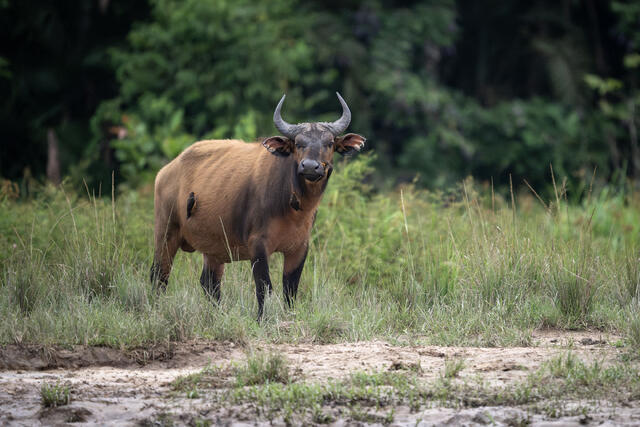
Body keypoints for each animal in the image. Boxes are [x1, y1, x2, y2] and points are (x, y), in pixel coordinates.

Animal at [151, 93, 366, 319]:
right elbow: (264, 287)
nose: (309, 167)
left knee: (209, 283)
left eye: (329, 142)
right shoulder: (258, 245)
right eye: (298, 143)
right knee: (159, 275)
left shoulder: (299, 248)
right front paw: (262, 318)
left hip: (213, 249)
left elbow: (290, 289)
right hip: (166, 232)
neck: (293, 208)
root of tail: (166, 171)